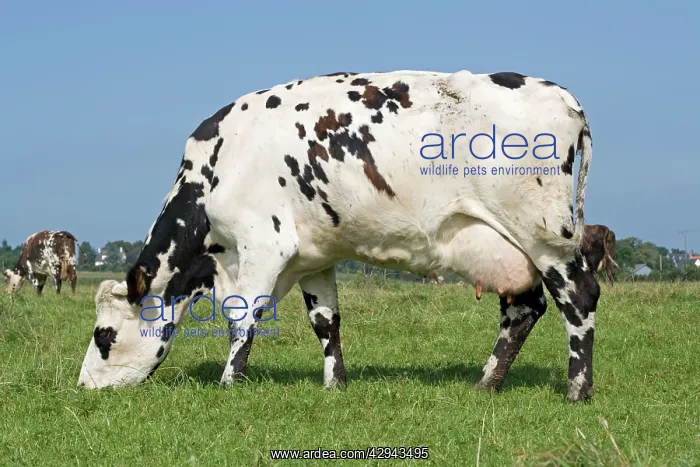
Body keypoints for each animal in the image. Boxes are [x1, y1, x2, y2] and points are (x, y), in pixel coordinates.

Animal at [78, 68, 600, 403]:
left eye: (104, 335)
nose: (82, 387)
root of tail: (561, 94)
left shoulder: (263, 244)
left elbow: (242, 319)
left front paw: (229, 384)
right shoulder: (313, 256)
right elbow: (325, 322)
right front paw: (335, 385)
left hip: (545, 235)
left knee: (578, 297)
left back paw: (578, 391)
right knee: (523, 308)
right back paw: (486, 384)